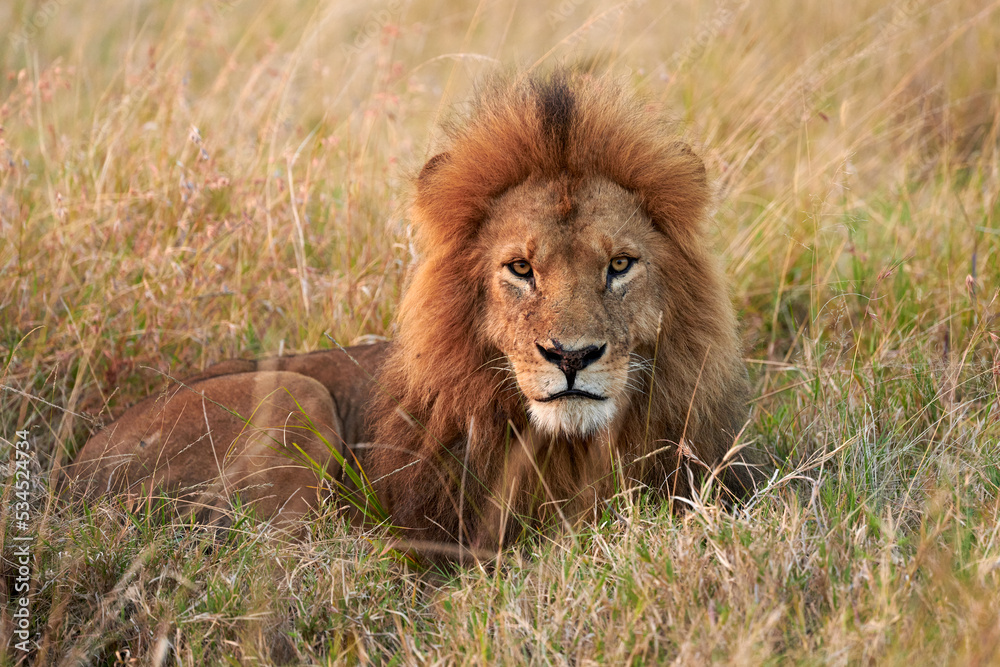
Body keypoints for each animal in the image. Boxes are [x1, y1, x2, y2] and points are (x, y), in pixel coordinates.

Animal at [66, 73, 760, 552]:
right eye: (520, 269)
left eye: (619, 265)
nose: (571, 357)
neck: (569, 445)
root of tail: (70, 477)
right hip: (293, 393)